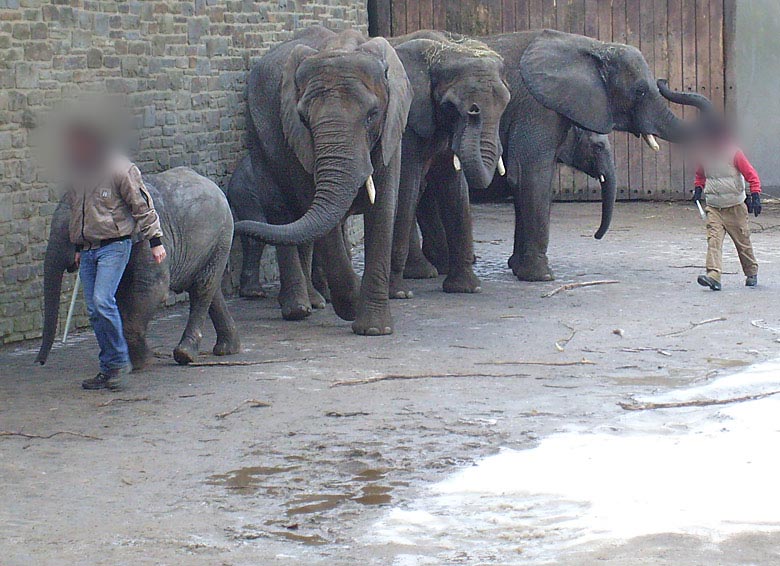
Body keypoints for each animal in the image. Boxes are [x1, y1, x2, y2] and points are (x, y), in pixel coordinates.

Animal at [34, 166, 241, 370]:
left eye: (73, 233)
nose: (39, 362)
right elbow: (118, 294)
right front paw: (131, 361)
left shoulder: (151, 239)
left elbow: (153, 288)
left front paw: (143, 362)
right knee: (209, 289)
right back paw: (226, 349)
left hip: (222, 236)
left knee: (202, 288)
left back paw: (185, 354)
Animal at [233, 26, 412, 338]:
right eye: (303, 119)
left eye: (372, 115)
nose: (234, 228)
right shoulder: (297, 140)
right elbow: (314, 209)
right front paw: (351, 305)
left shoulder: (391, 131)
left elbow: (383, 209)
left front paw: (375, 330)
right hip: (258, 137)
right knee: (283, 213)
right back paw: (298, 309)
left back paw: (316, 301)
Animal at [386, 31, 512, 300]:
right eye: (450, 106)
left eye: (506, 104)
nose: (474, 112)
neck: (443, 51)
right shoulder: (407, 123)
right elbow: (405, 186)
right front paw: (398, 294)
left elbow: (454, 187)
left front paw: (466, 289)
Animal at [484, 28, 716, 282]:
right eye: (640, 91)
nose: (663, 80)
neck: (594, 46)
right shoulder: (536, 108)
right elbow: (531, 176)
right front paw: (541, 276)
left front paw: (517, 268)